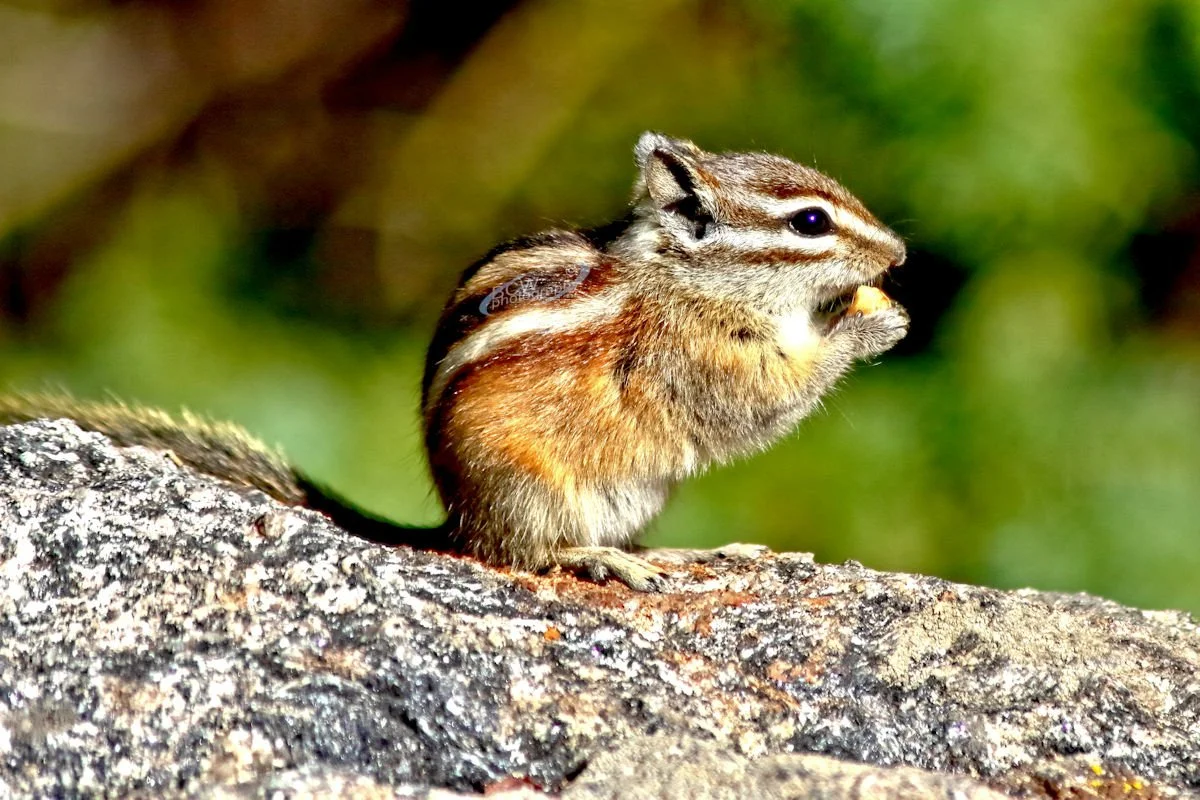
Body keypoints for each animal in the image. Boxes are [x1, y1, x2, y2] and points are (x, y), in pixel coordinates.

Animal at [1, 132, 908, 591]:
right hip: (530, 487)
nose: (899, 254)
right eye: (811, 223)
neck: (681, 277)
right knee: (521, 555)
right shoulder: (698, 359)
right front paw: (868, 325)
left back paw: (685, 555)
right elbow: (761, 404)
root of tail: (454, 517)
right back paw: (596, 560)